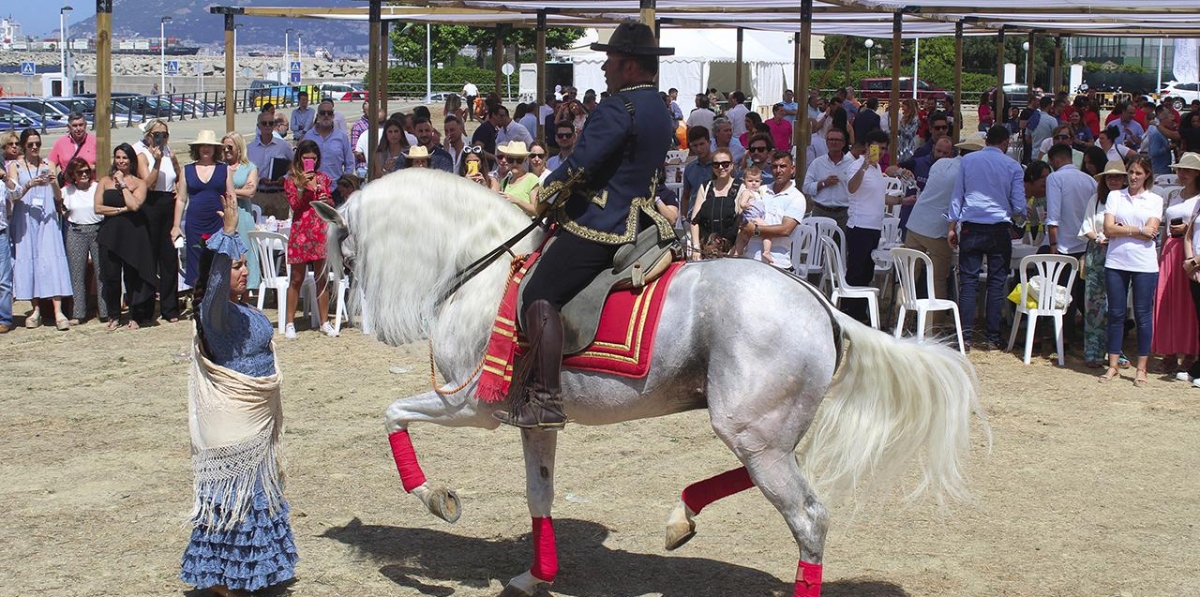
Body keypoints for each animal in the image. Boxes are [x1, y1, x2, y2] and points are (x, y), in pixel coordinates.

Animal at [314, 167, 988, 597]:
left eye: (339, 248)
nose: (343, 312)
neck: (483, 268)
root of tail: (818, 303)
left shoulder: (471, 407)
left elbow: (392, 414)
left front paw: (435, 497)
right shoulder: (534, 421)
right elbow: (539, 495)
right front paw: (537, 575)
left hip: (750, 431)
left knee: (809, 518)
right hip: (759, 429)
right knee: (762, 480)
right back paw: (680, 516)